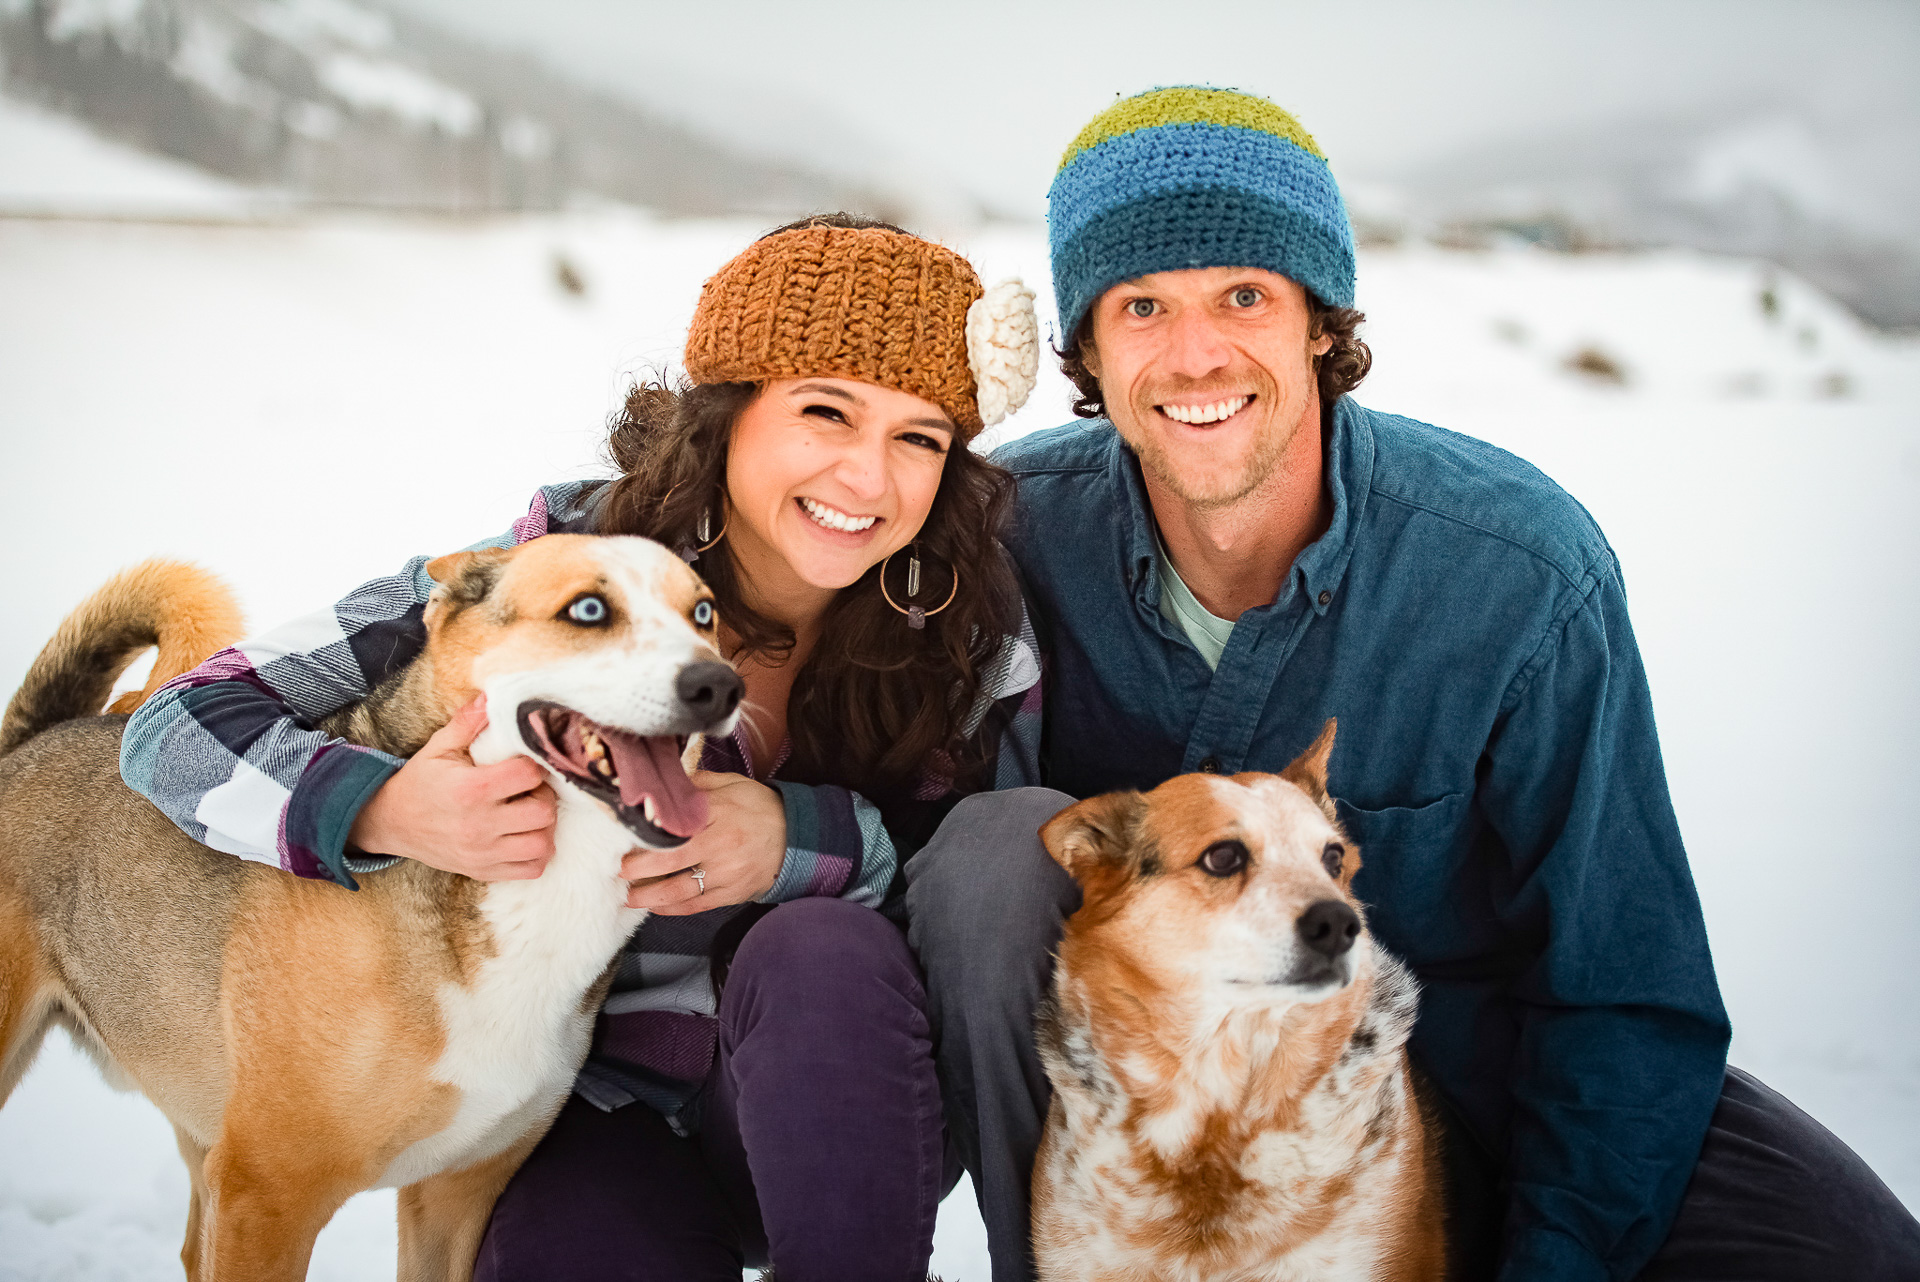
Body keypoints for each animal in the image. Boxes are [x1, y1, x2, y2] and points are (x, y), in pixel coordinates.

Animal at [0, 533, 741, 1282]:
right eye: (589, 609)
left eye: (703, 613)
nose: (718, 686)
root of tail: (29, 743)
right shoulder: (264, 1192)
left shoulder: (453, 1199)